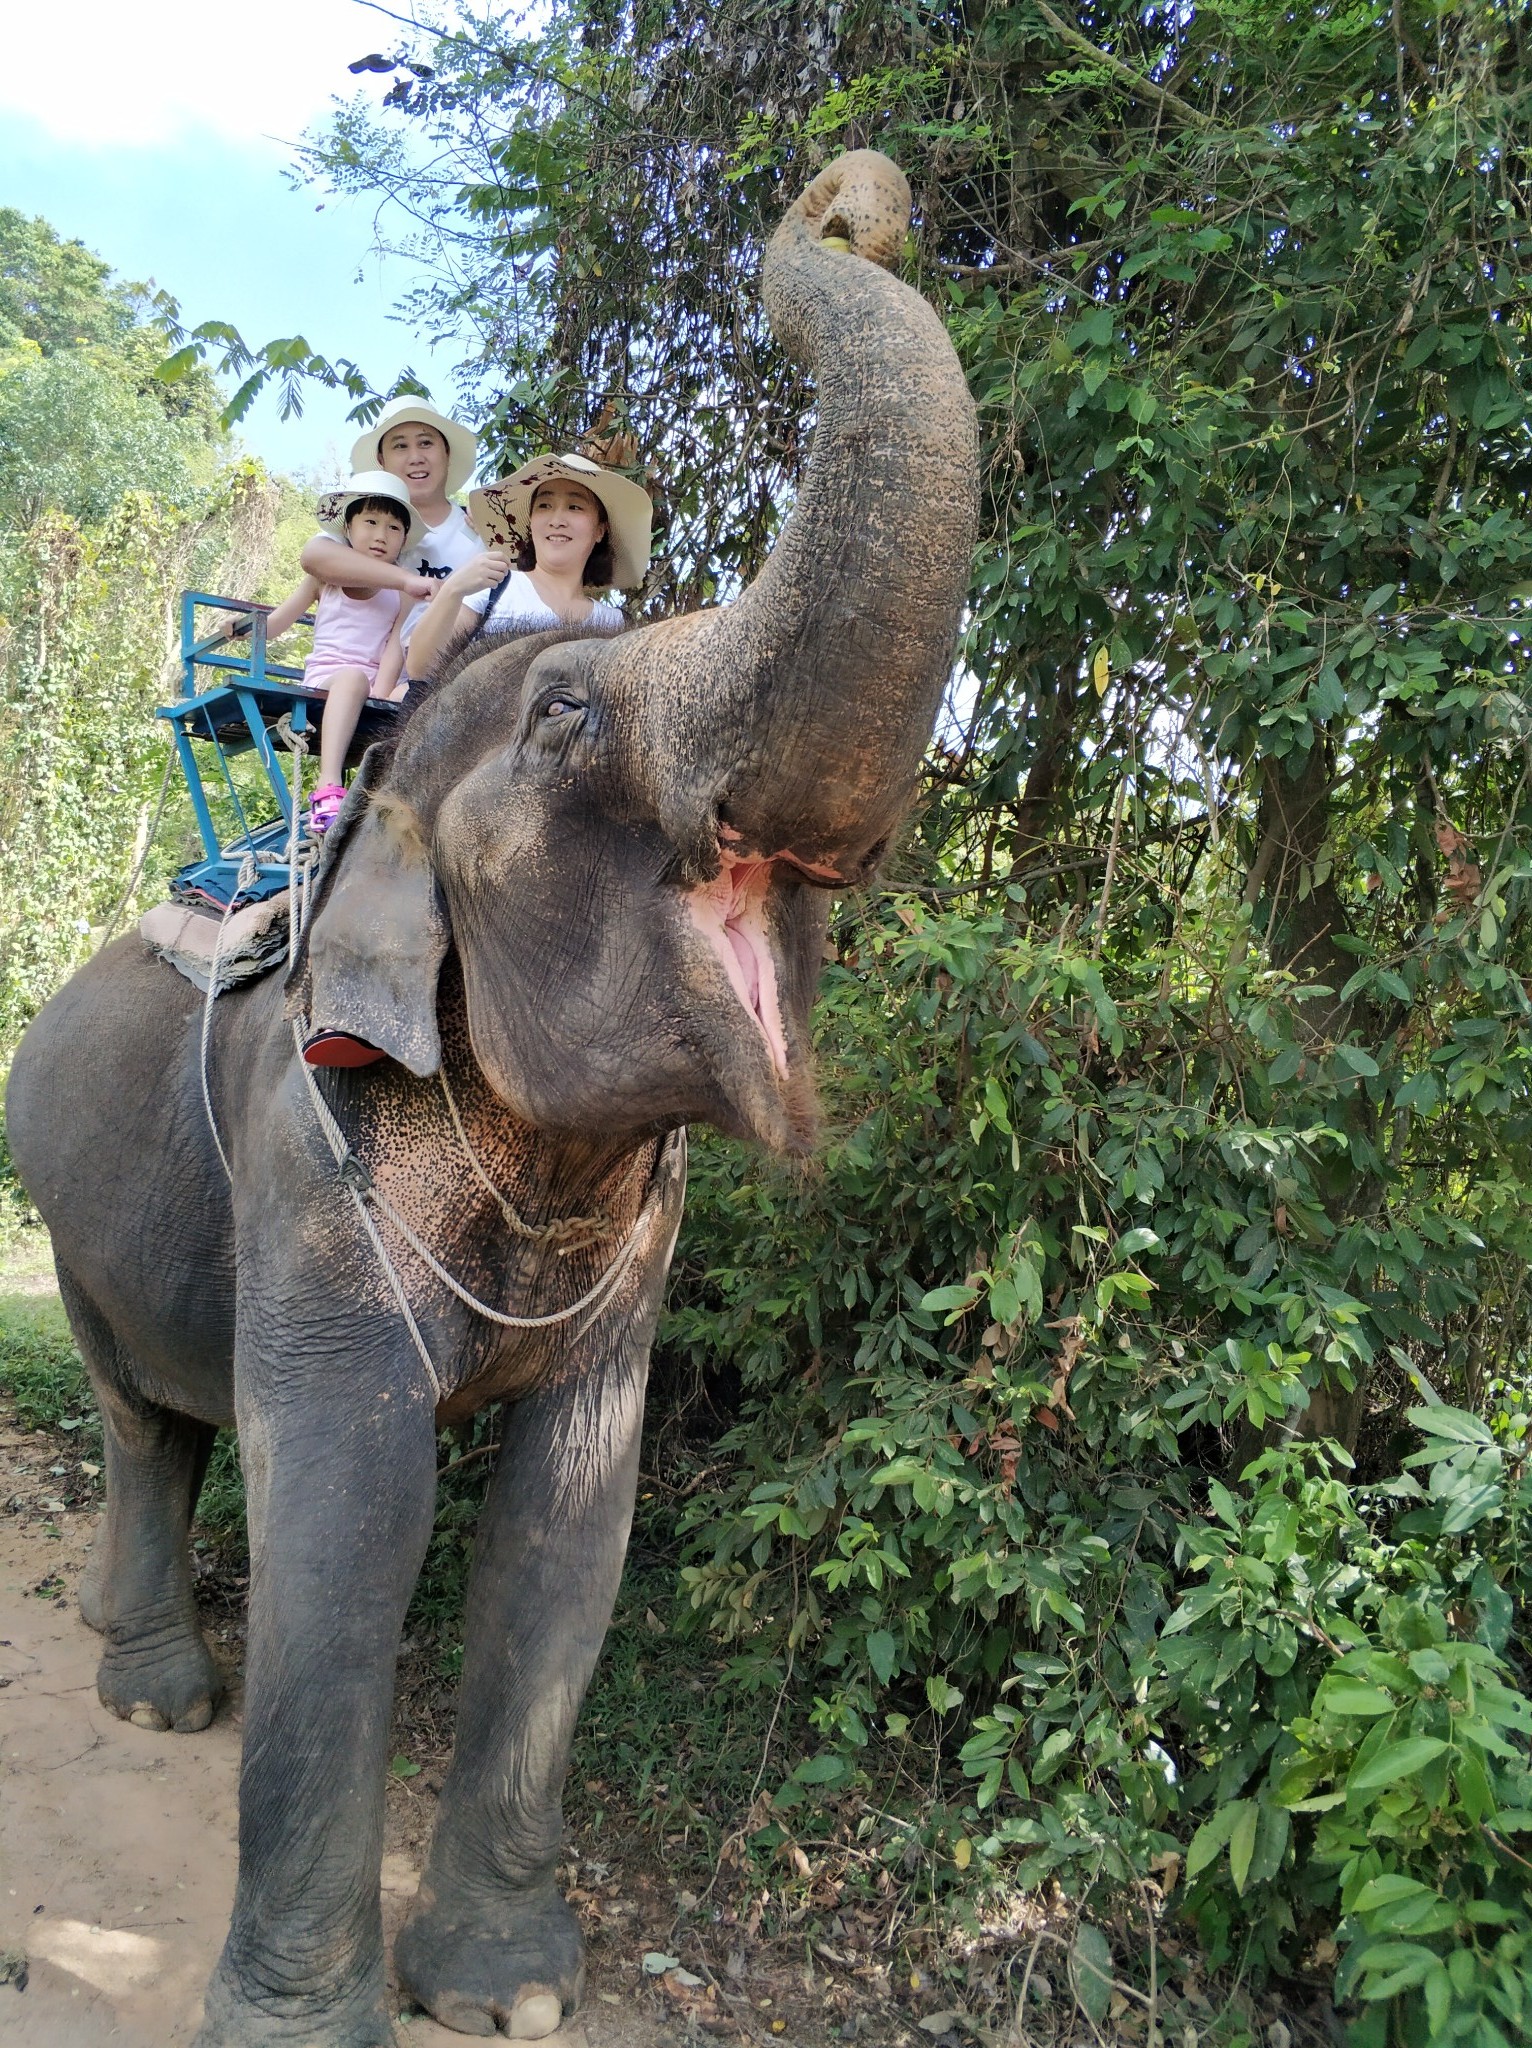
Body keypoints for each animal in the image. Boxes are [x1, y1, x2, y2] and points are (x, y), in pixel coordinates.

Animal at [0, 148, 974, 2048]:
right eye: (568, 717)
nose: (858, 197)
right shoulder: (310, 1150)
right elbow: (361, 1502)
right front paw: (308, 2027)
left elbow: (569, 1521)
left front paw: (510, 1994)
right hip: (69, 1221)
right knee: (139, 1414)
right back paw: (157, 1695)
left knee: (184, 1416)